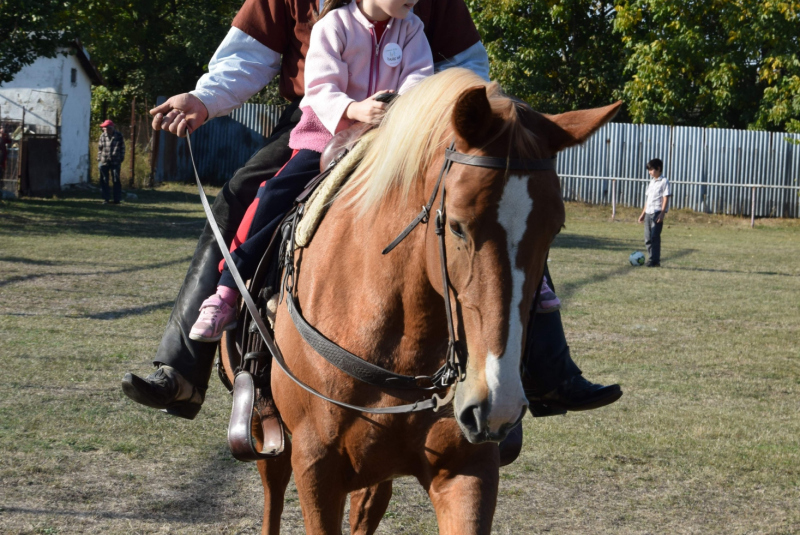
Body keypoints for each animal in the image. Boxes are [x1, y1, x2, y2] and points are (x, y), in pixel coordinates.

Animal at [222, 68, 620, 535]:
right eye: (459, 226)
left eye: (555, 228)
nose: (496, 402)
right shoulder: (315, 466)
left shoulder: (467, 469)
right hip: (268, 431)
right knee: (273, 492)